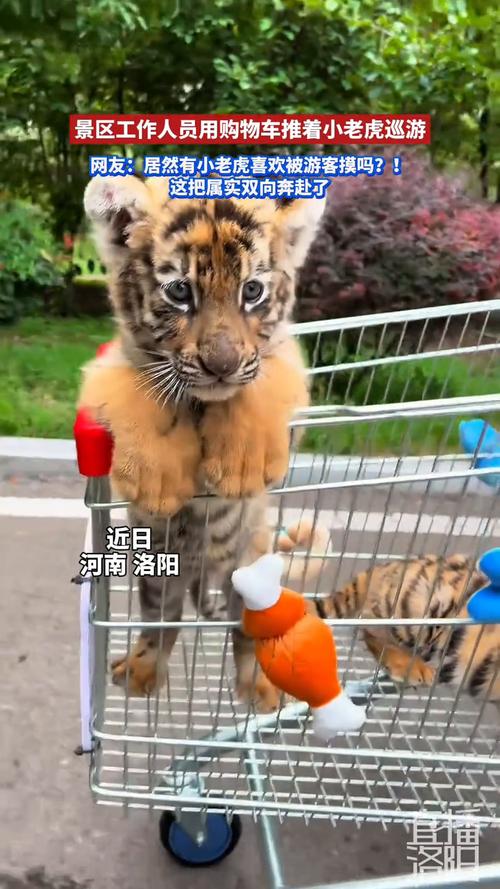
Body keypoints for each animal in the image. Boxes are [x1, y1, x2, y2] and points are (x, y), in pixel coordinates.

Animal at [78, 175, 326, 711]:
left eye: (252, 291)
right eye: (179, 291)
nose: (222, 365)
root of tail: (203, 575)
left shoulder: (283, 358)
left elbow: (263, 385)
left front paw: (242, 464)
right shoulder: (108, 368)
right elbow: (135, 392)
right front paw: (158, 479)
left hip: (250, 575)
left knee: (247, 637)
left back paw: (261, 688)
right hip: (159, 570)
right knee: (162, 626)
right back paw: (141, 670)